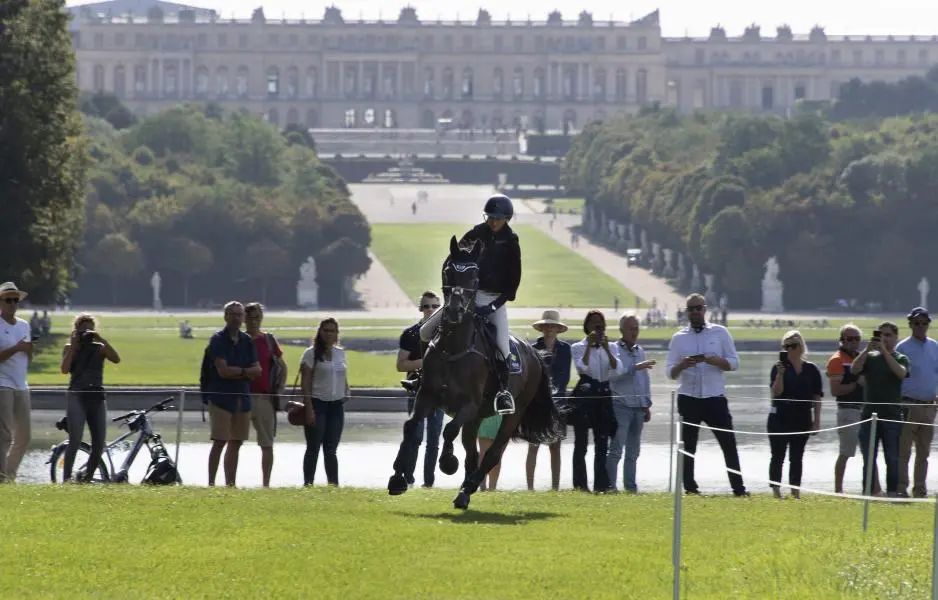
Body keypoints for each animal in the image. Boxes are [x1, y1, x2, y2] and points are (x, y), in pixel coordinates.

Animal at [386, 234, 564, 506]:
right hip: (478, 415)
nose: (454, 310)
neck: (453, 348)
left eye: (474, 276)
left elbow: (449, 430)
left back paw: (467, 488)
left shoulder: (468, 404)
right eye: (448, 271)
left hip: (512, 414)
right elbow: (410, 427)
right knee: (472, 449)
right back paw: (465, 489)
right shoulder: (426, 396)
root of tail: (535, 353)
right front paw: (397, 479)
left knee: (493, 452)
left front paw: (448, 462)